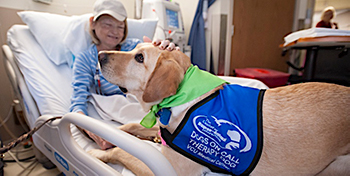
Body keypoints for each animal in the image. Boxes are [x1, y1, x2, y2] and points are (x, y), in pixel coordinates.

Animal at [88, 43, 350, 176]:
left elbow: (123, 151)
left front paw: (97, 153)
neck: (186, 94)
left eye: (140, 58)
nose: (100, 55)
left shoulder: (172, 169)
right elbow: (130, 125)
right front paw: (102, 136)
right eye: (133, 50)